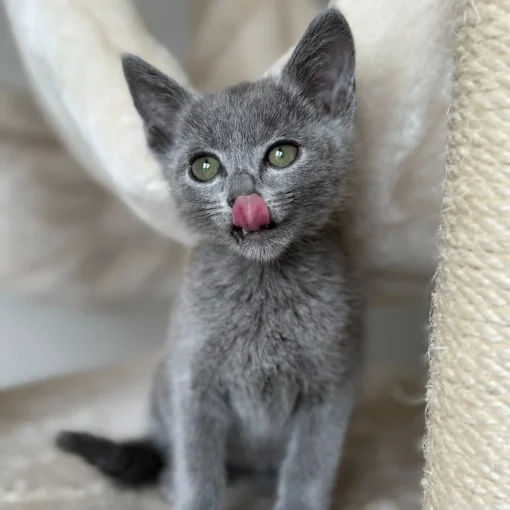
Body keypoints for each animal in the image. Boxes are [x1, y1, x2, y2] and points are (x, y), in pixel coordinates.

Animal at [57, 7, 364, 510]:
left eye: (282, 154)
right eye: (204, 167)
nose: (243, 198)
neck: (263, 283)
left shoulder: (331, 386)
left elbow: (309, 465)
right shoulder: (192, 380)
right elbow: (196, 460)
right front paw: (190, 492)